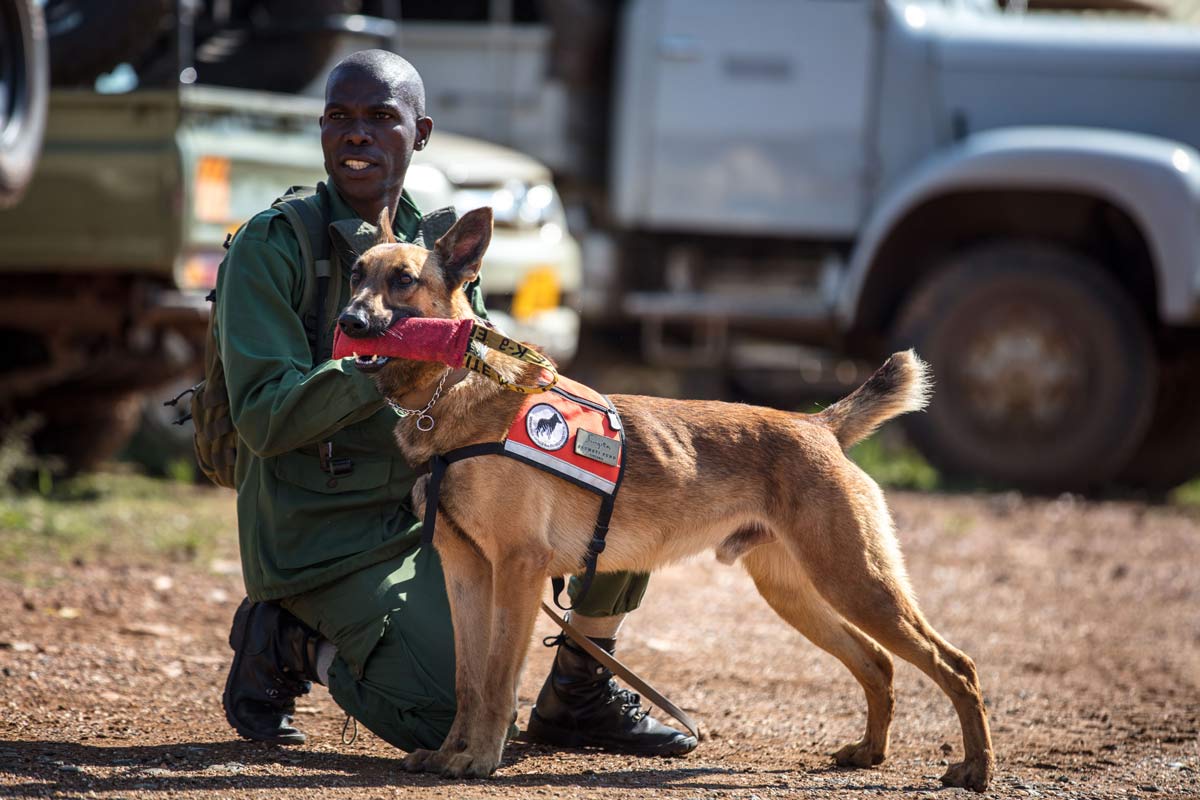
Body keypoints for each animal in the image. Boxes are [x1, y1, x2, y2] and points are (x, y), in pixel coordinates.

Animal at [336, 205, 993, 786]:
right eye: (356, 274)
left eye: (402, 281)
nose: (348, 322)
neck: (453, 392)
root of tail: (817, 424)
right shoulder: (466, 572)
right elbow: (468, 680)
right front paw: (450, 752)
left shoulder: (518, 571)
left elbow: (497, 680)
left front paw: (478, 760)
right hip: (802, 593)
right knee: (878, 662)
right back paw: (871, 753)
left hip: (855, 582)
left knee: (956, 665)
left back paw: (975, 769)